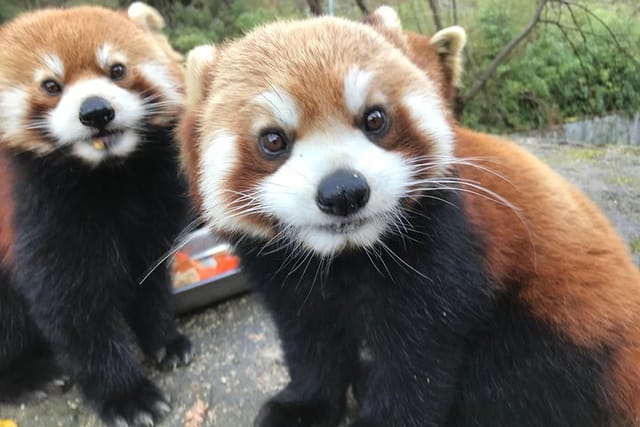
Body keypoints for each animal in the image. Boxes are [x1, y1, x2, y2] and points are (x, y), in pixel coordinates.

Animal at [0, 4, 192, 427]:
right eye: (51, 86)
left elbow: (149, 280)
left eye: (117, 70)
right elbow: (75, 311)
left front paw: (163, 340)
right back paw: (25, 377)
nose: (96, 111)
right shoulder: (37, 213)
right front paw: (126, 395)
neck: (107, 176)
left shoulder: (152, 205)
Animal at [178, 5, 640, 427]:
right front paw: (303, 406)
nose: (343, 191)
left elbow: (418, 360)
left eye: (375, 118)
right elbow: (308, 341)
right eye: (273, 140)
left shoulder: (446, 251)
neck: (349, 257)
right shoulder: (284, 275)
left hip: (560, 337)